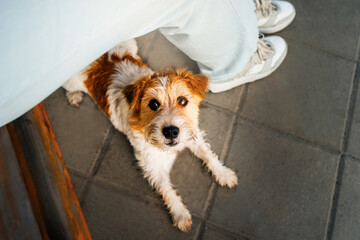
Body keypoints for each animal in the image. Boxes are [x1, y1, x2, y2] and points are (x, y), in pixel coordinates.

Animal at [63, 39, 238, 232]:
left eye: (182, 100)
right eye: (153, 104)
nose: (171, 131)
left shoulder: (192, 133)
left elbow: (208, 154)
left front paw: (223, 174)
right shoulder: (152, 166)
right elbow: (166, 189)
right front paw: (179, 213)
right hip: (70, 81)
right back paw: (74, 95)